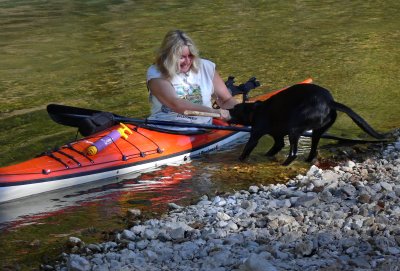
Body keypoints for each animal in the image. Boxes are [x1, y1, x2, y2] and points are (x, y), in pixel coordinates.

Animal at [228, 83, 384, 166]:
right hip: (317, 131)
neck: (256, 111)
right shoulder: (278, 139)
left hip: (294, 129)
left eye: (235, 109)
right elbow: (273, 149)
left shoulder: (255, 134)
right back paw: (308, 160)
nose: (228, 110)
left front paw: (239, 160)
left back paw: (285, 164)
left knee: (293, 153)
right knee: (313, 150)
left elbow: (247, 149)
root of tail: (329, 102)